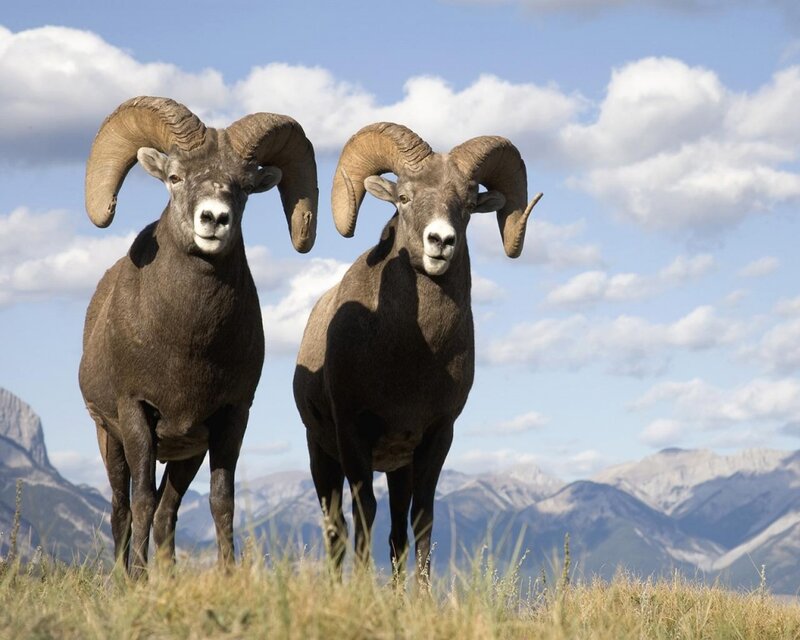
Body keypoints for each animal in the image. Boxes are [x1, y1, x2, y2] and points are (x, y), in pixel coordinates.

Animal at [79, 96, 318, 577]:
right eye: (174, 178)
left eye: (243, 188)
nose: (214, 219)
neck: (188, 346)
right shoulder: (135, 414)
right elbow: (140, 501)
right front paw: (138, 581)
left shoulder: (229, 418)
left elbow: (221, 502)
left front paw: (228, 575)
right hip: (109, 438)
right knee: (121, 510)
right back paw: (123, 576)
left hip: (186, 453)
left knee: (168, 511)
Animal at [293, 122, 541, 580]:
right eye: (405, 197)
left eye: (467, 205)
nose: (440, 241)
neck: (412, 359)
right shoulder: (353, 433)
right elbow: (364, 511)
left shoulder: (435, 438)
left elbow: (420, 520)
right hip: (322, 454)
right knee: (336, 527)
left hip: (397, 469)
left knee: (395, 533)